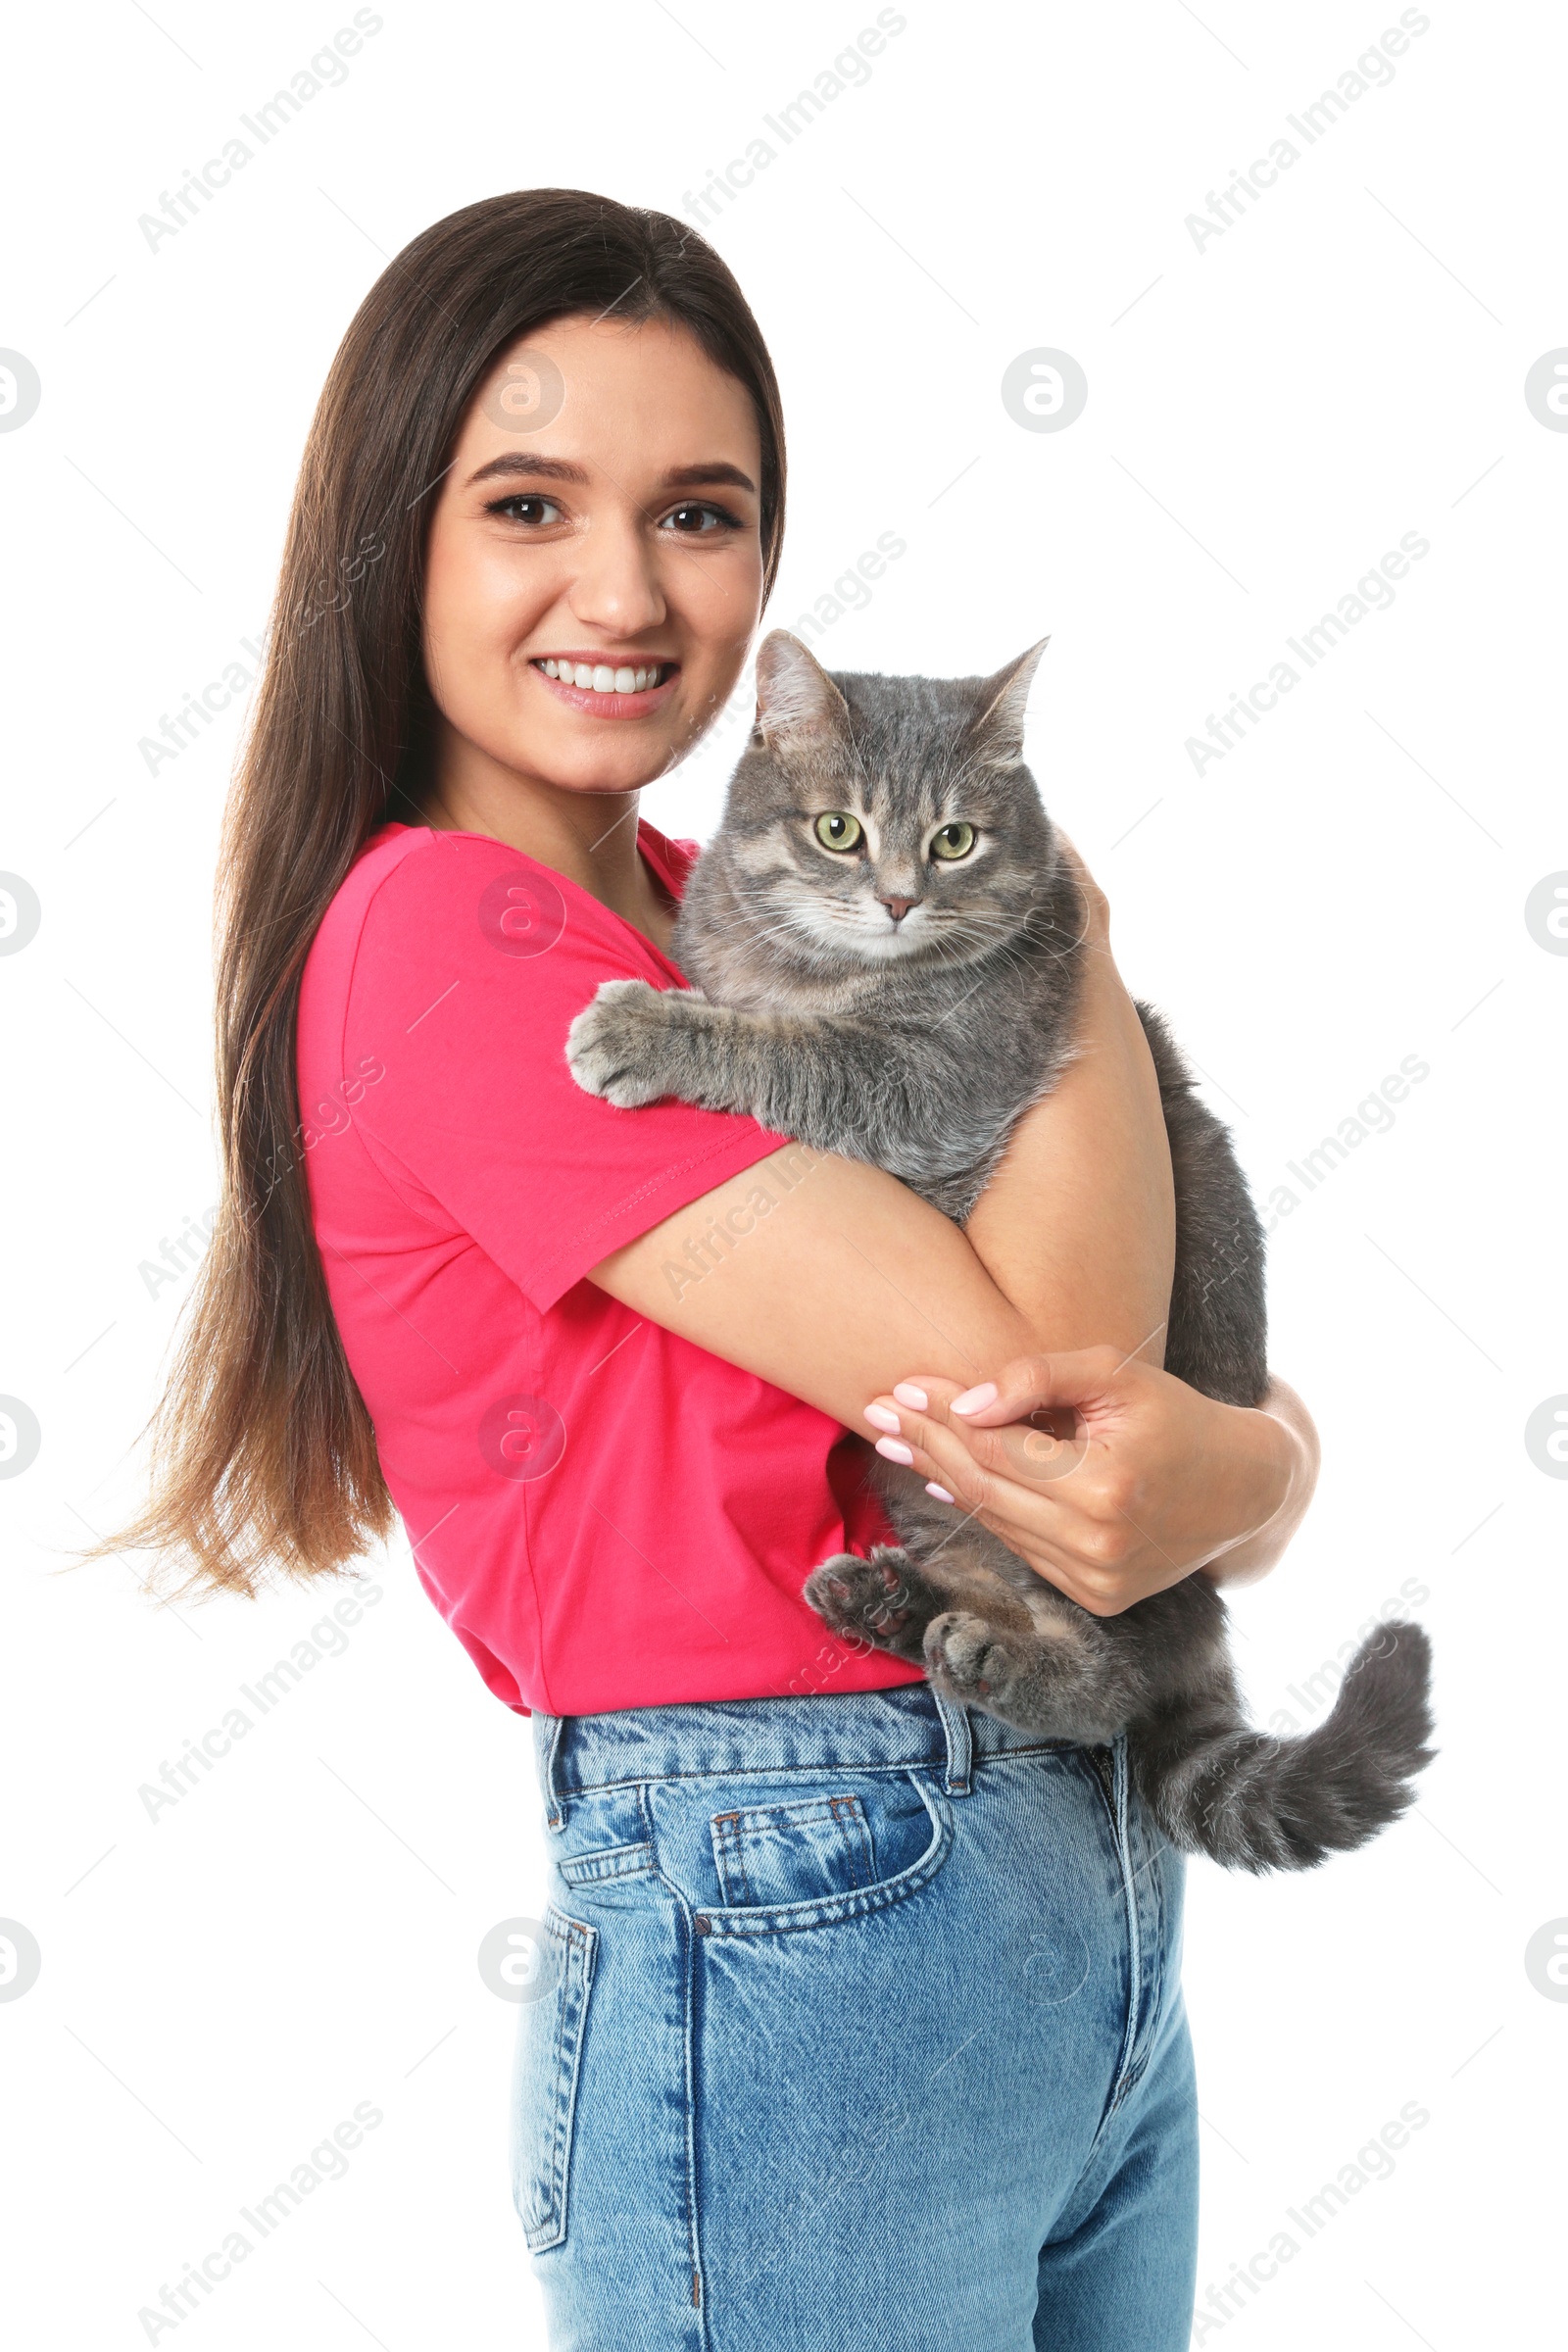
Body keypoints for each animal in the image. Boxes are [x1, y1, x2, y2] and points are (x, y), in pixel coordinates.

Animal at [570, 630, 1439, 1872]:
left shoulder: (932, 1096)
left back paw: (990, 1651)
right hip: (926, 1489)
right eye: (837, 829)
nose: (896, 900)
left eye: (954, 841)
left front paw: (651, 1029)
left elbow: (794, 1052)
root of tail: (1197, 1617)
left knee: (1106, 1686)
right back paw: (895, 1606)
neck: (816, 970)